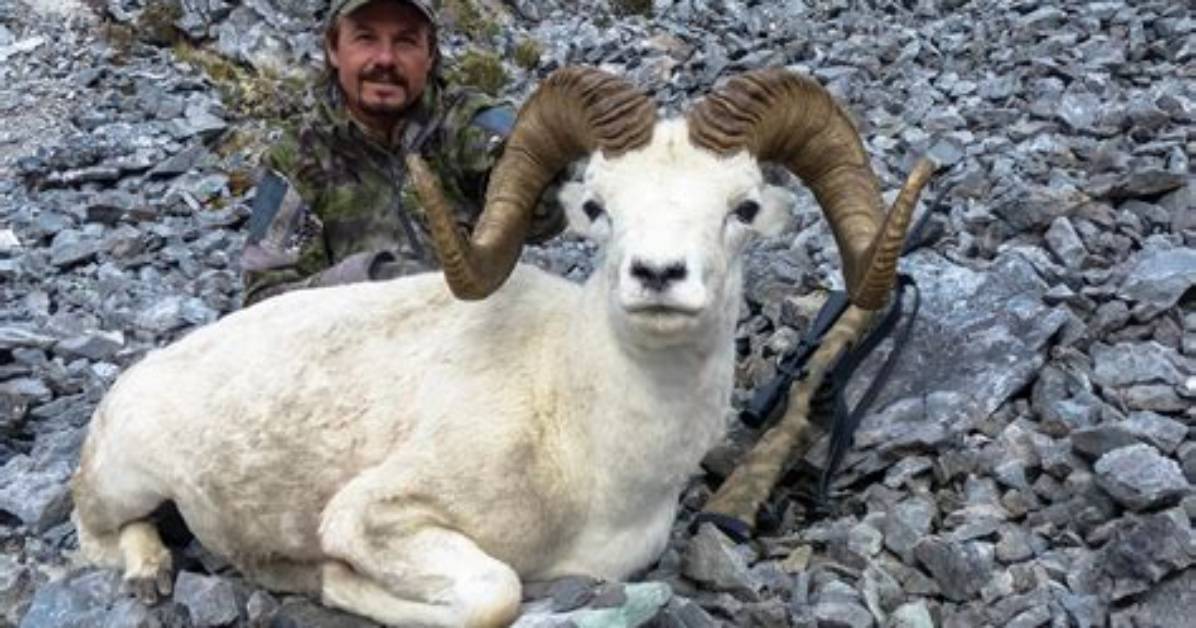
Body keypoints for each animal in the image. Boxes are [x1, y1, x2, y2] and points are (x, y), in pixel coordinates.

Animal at [70, 67, 933, 627]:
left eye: (743, 208)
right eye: (598, 206)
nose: (658, 275)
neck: (589, 449)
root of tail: (132, 384)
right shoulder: (375, 516)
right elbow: (495, 594)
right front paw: (324, 583)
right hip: (125, 483)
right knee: (99, 535)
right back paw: (150, 575)